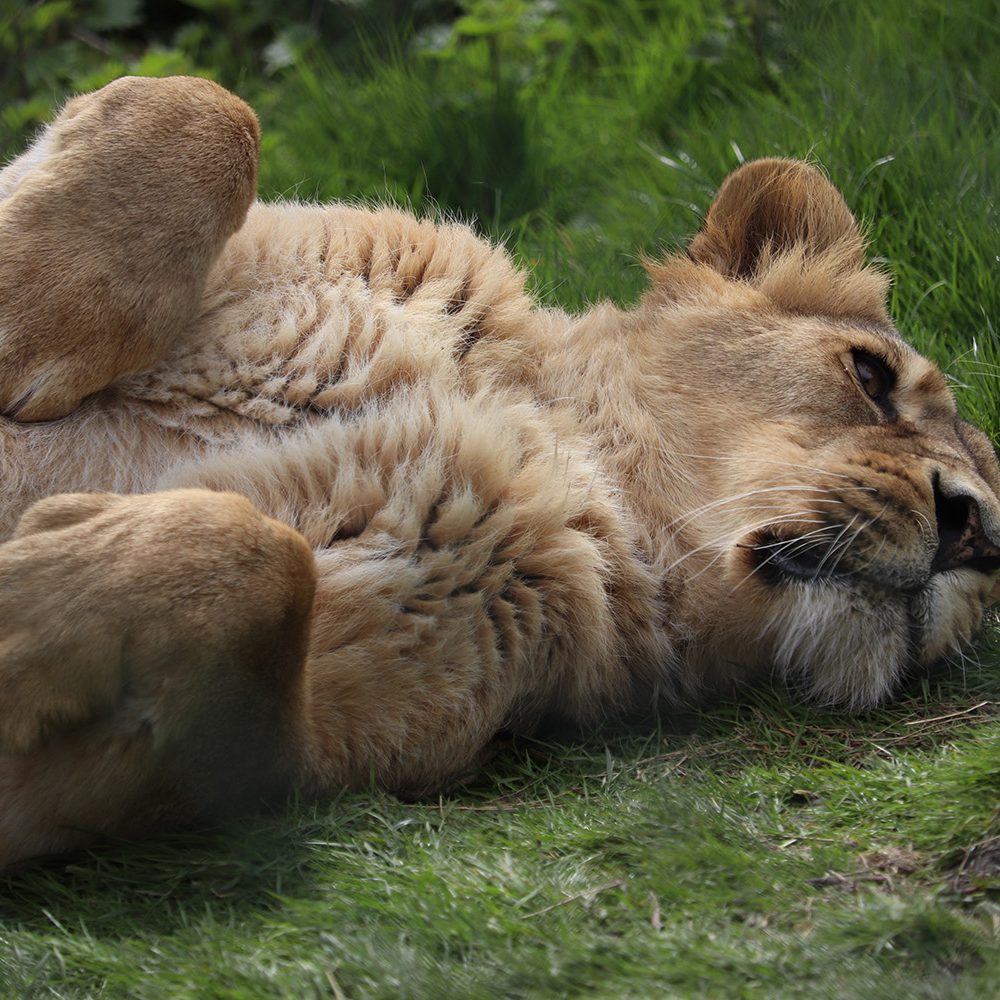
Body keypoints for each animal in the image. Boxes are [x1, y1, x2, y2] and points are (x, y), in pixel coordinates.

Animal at [1, 78, 1000, 868]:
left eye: (994, 571)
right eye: (869, 376)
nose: (976, 530)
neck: (536, 430)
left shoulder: (291, 740)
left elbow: (258, 557)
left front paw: (27, 586)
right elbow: (202, 107)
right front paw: (28, 330)